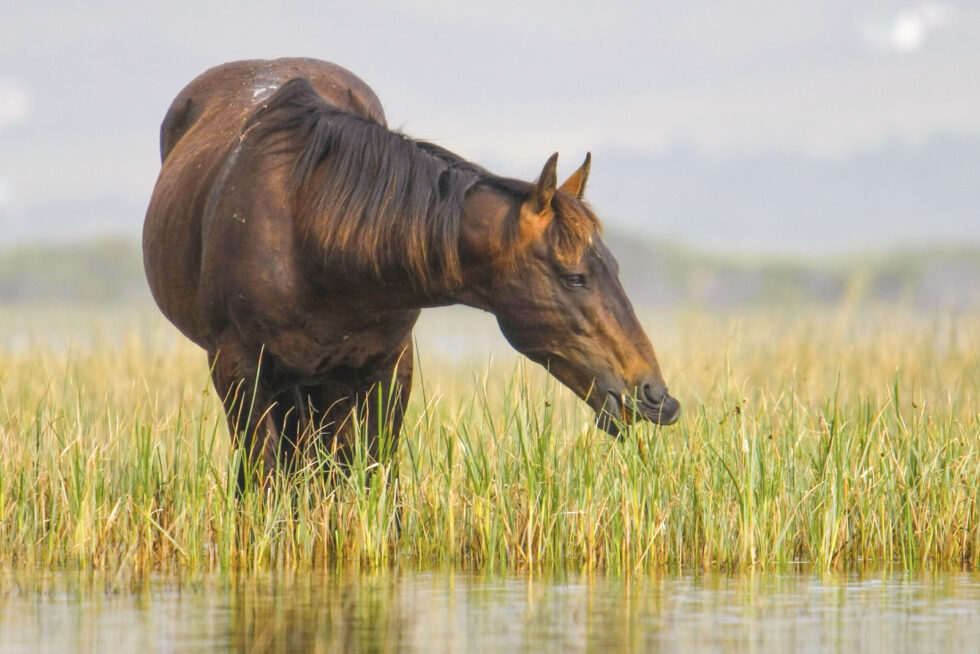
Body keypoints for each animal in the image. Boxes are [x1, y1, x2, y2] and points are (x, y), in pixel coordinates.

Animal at [143, 58, 679, 483]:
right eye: (574, 277)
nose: (656, 396)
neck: (308, 235)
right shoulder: (239, 373)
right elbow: (266, 482)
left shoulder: (387, 368)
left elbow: (372, 477)